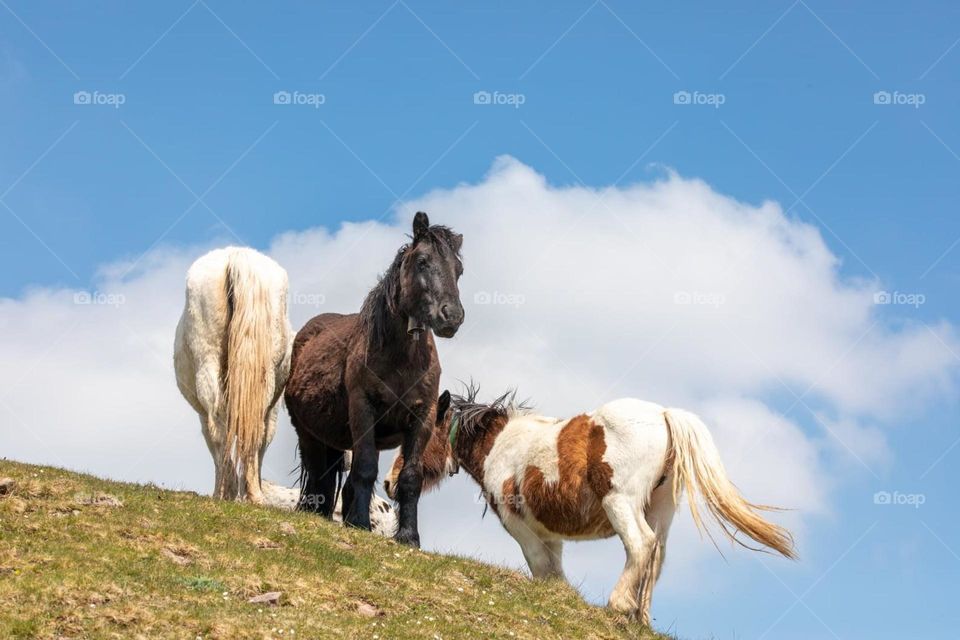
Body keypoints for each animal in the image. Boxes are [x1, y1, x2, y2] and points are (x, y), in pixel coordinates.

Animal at [174, 247, 292, 504]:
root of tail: (236, 256)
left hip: (208, 363)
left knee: (220, 427)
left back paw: (225, 491)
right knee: (251, 428)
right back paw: (252, 493)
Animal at [284, 212, 464, 546]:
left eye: (458, 269)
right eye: (422, 261)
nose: (452, 317)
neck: (402, 359)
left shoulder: (422, 417)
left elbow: (410, 477)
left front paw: (408, 537)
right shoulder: (363, 410)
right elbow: (366, 470)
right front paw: (361, 524)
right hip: (309, 433)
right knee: (317, 476)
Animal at [385, 386, 797, 625]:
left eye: (414, 437)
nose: (389, 483)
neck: (501, 443)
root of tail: (664, 414)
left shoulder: (517, 521)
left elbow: (540, 563)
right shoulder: (548, 530)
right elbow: (550, 568)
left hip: (621, 502)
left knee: (641, 545)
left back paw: (619, 605)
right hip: (660, 509)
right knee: (656, 555)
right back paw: (641, 619)